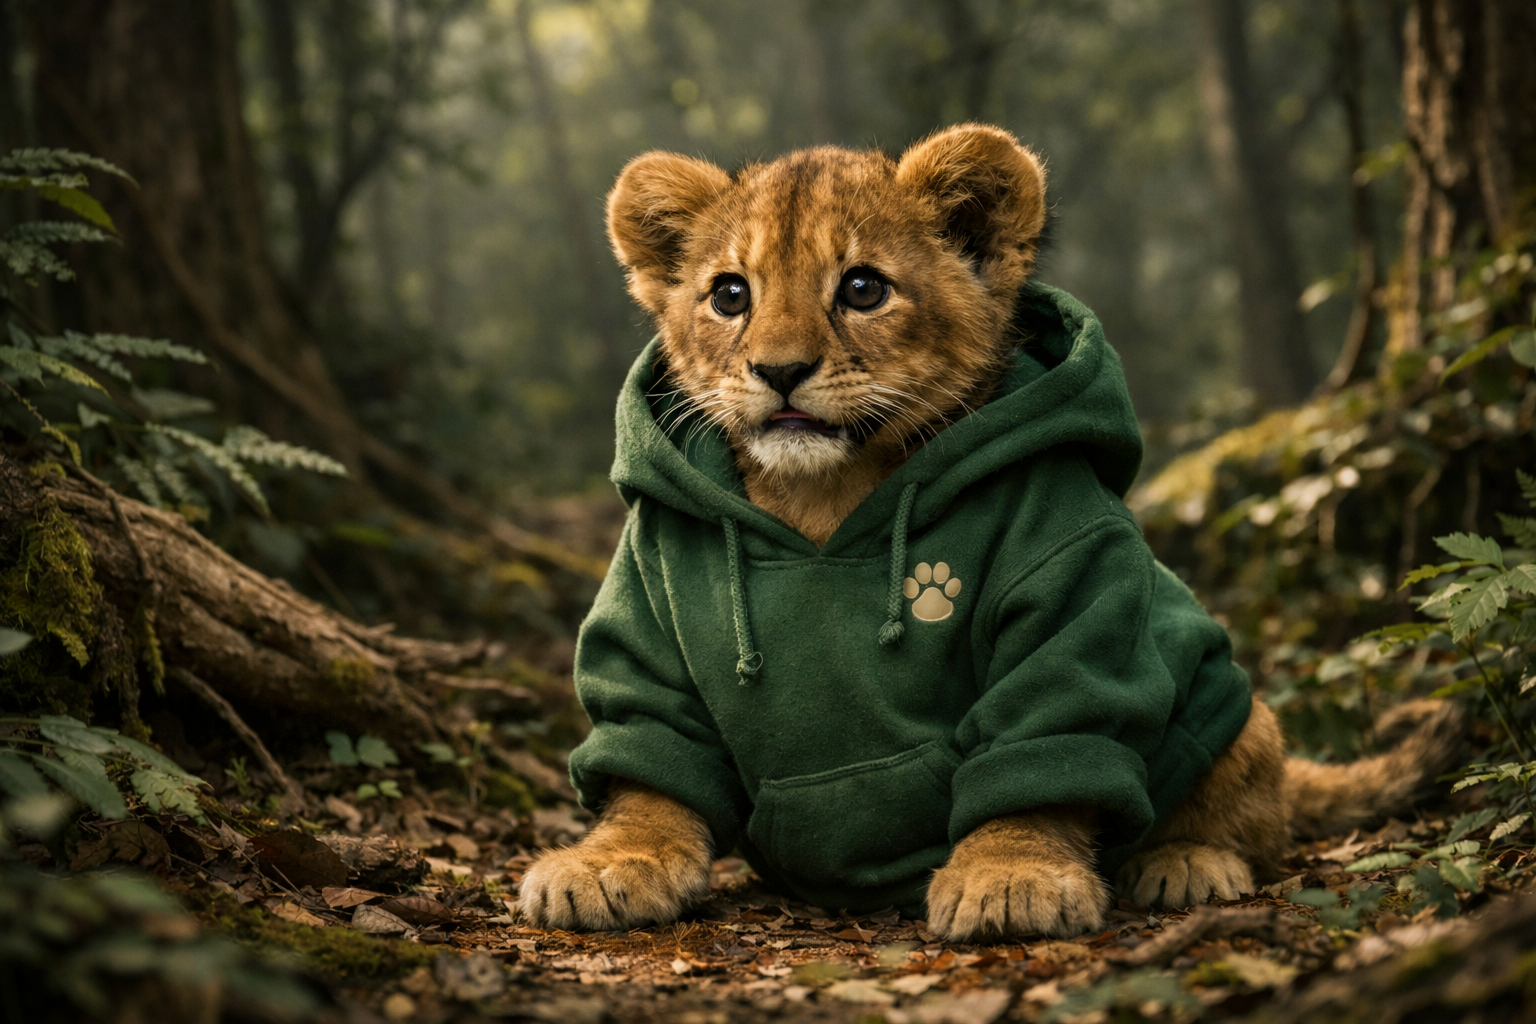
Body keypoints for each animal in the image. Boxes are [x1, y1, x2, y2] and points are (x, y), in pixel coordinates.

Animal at [516, 124, 1461, 940]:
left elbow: (1041, 754)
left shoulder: (1068, 586)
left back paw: (1189, 861)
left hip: (1232, 700)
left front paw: (1012, 877)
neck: (821, 499)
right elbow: (649, 769)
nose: (779, 371)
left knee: (1253, 809)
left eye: (862, 288)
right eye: (729, 295)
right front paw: (608, 863)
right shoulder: (648, 615)